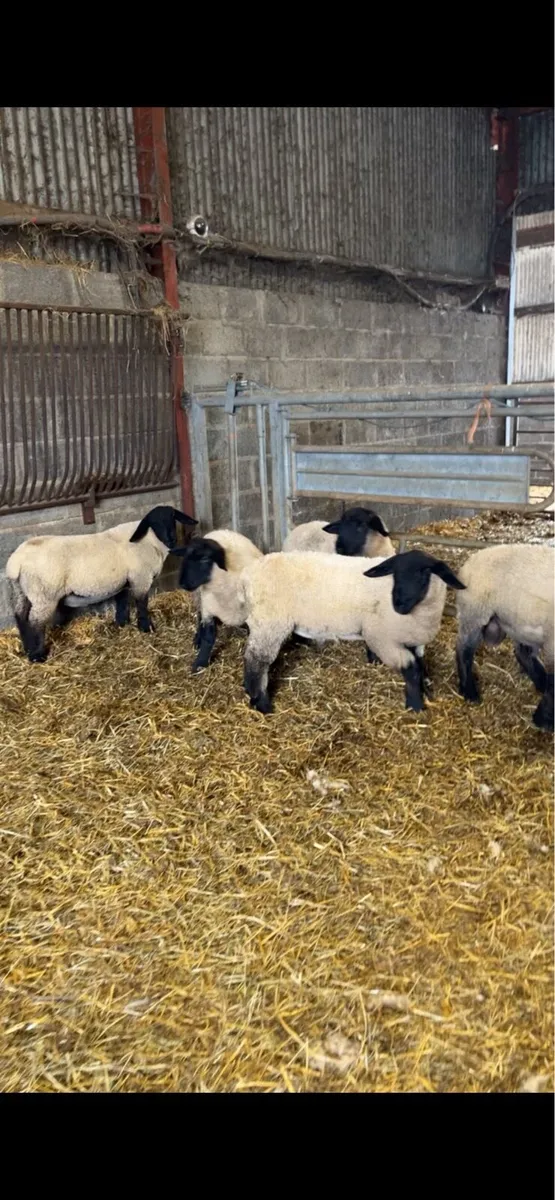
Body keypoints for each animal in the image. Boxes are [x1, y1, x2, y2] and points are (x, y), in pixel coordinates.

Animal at [5, 505, 197, 662]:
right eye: (154, 522)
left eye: (173, 517)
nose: (172, 539)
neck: (150, 540)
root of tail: (16, 561)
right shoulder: (141, 578)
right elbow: (141, 604)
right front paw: (146, 627)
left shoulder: (123, 580)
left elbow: (122, 601)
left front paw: (122, 623)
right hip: (45, 594)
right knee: (35, 622)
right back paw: (38, 656)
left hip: (22, 591)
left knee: (20, 617)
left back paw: (28, 649)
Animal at [174, 529, 263, 673]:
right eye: (185, 558)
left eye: (205, 559)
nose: (182, 583)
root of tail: (219, 531)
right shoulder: (209, 610)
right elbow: (208, 638)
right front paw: (200, 662)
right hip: (199, 598)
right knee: (199, 616)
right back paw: (197, 638)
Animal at [240, 548, 465, 713]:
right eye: (395, 574)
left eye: (424, 574)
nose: (398, 604)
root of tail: (252, 571)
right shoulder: (381, 637)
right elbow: (411, 669)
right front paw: (415, 705)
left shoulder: (415, 640)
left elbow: (420, 665)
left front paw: (425, 692)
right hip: (270, 622)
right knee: (257, 661)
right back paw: (262, 703)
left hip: (265, 622)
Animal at [455, 543, 554, 731]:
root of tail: (472, 559)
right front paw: (543, 720)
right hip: (475, 613)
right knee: (463, 651)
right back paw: (470, 693)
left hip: (519, 621)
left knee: (522, 653)